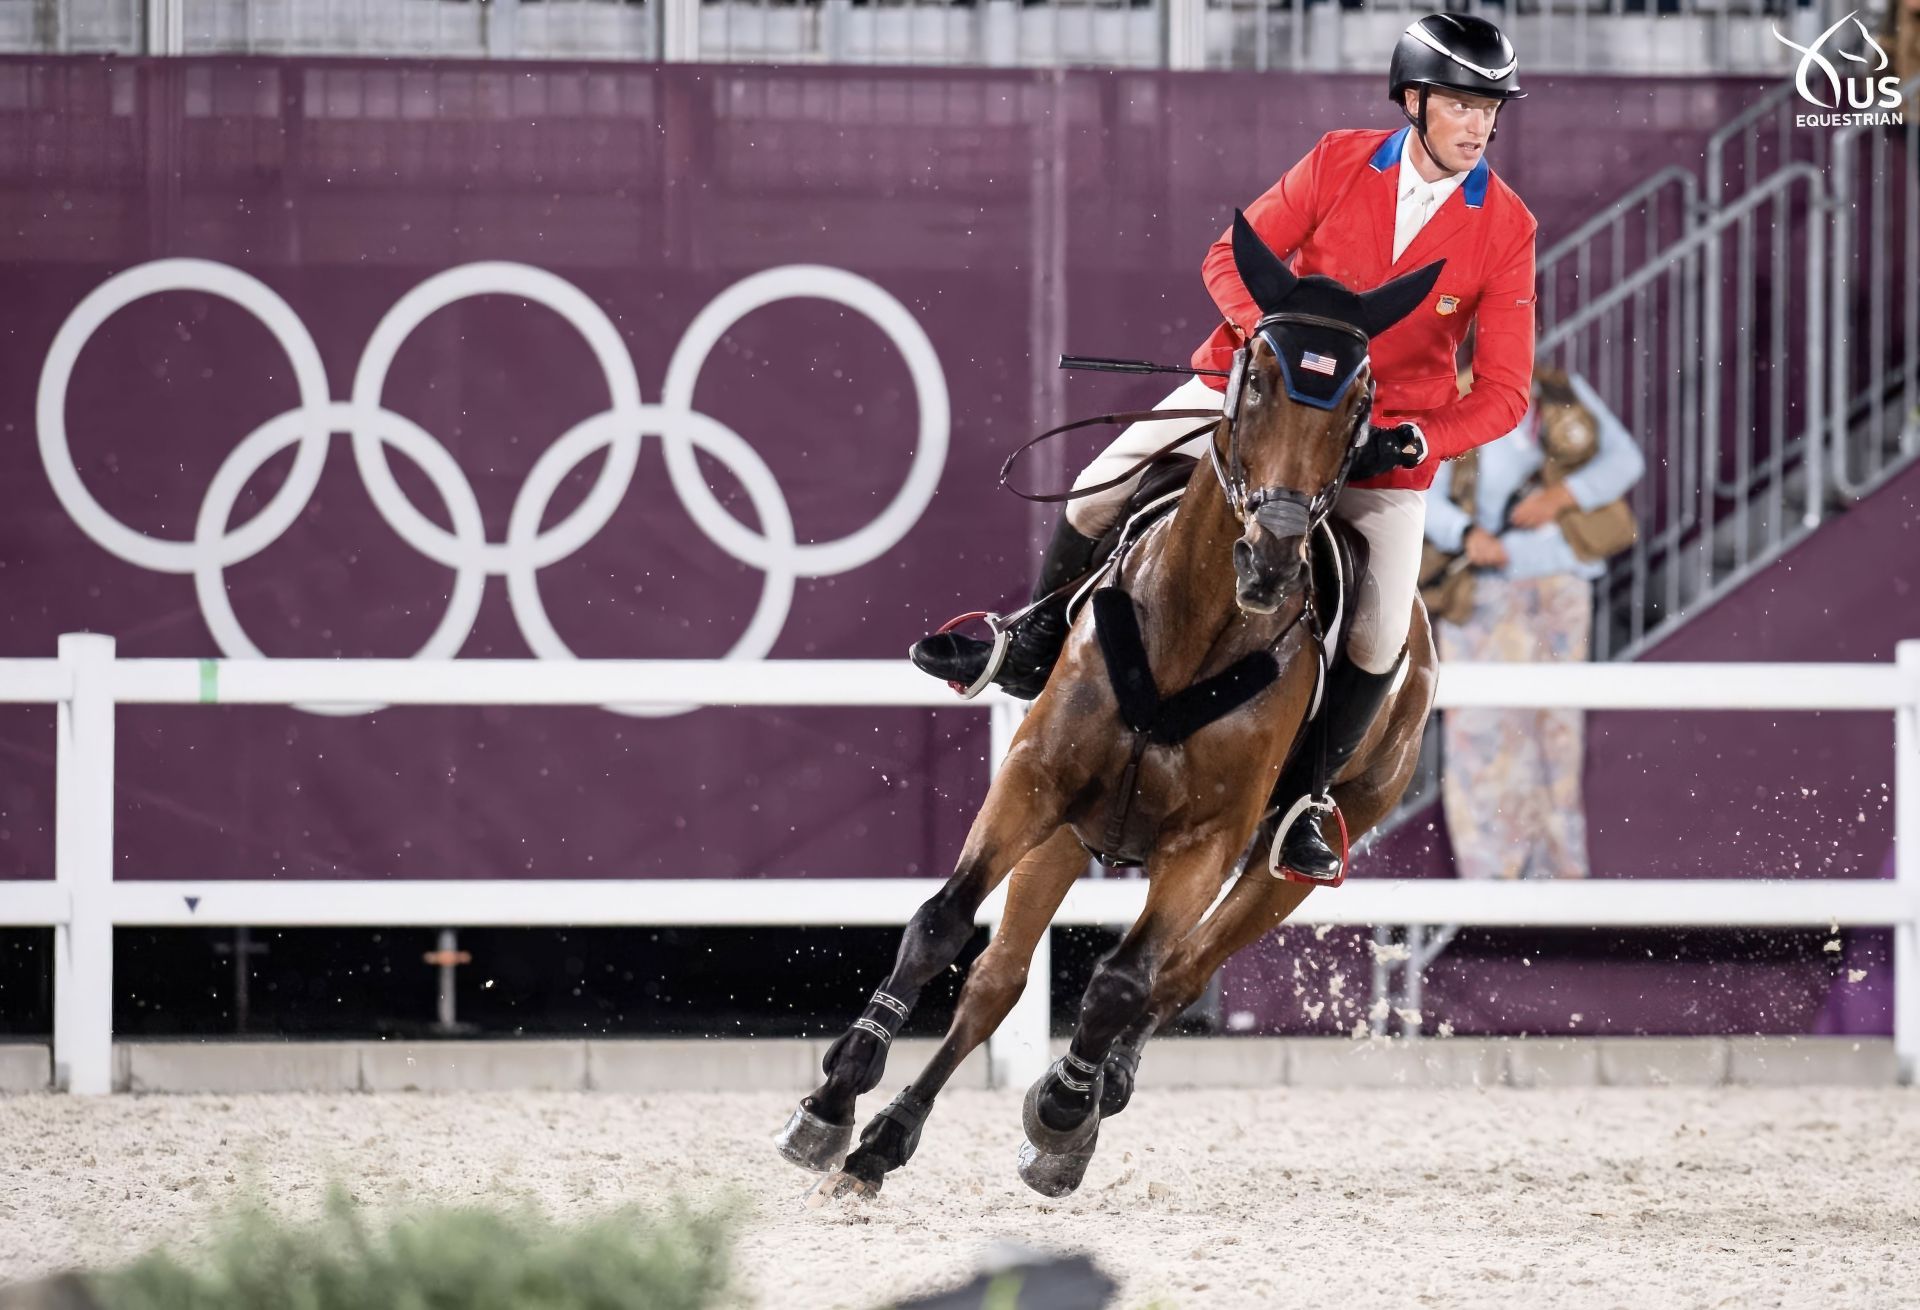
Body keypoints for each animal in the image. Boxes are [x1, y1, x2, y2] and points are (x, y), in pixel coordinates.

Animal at [774, 212, 1444, 1202]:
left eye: (1361, 403)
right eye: (1253, 379)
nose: (1271, 559)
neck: (1195, 628)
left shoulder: (1204, 845)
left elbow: (1123, 983)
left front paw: (1061, 1111)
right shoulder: (1035, 781)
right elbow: (941, 924)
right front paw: (832, 1100)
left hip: (1293, 857)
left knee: (1174, 974)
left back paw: (1084, 1098)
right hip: (1069, 830)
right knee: (999, 980)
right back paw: (883, 1139)